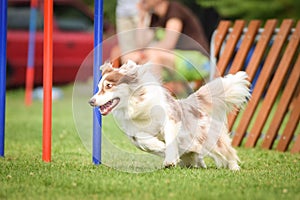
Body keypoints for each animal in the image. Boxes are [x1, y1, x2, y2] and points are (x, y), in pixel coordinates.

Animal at [88, 61, 251, 170]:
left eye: (108, 86)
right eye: (98, 87)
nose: (91, 101)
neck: (136, 106)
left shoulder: (171, 120)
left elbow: (170, 139)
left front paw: (170, 160)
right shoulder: (134, 133)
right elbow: (143, 142)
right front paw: (161, 147)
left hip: (210, 140)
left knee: (227, 151)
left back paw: (234, 168)